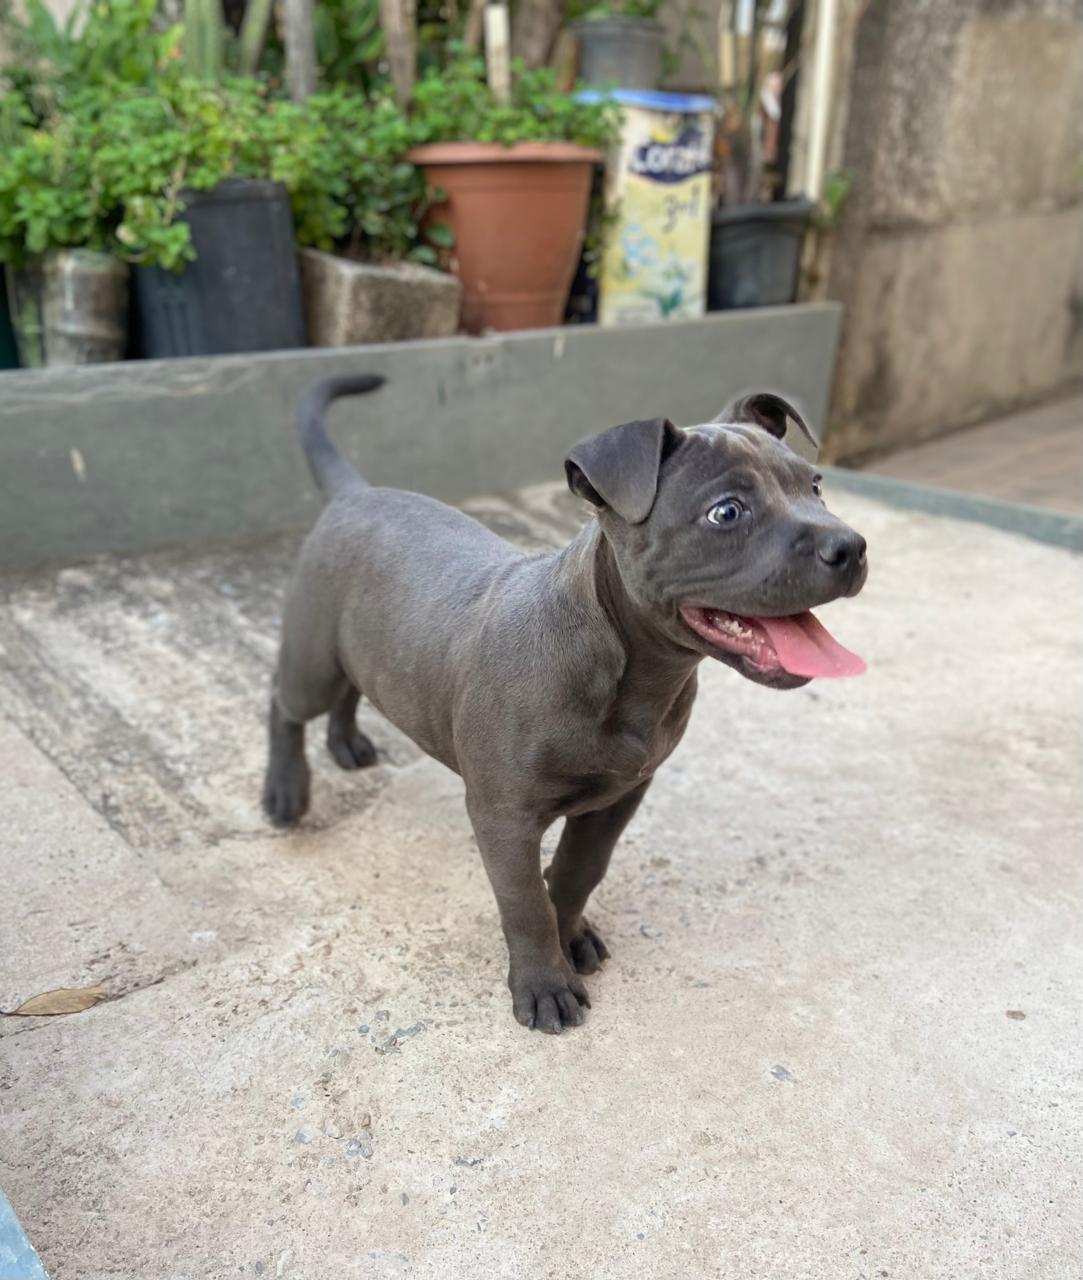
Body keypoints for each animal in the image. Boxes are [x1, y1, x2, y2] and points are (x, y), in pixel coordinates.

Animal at [267, 373, 870, 1034]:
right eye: (727, 512)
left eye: (815, 486)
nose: (851, 546)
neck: (632, 672)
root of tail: (357, 494)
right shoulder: (503, 816)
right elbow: (524, 901)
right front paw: (544, 984)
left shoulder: (620, 796)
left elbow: (579, 871)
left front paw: (570, 934)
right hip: (312, 654)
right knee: (284, 706)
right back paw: (285, 792)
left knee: (354, 686)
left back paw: (347, 743)